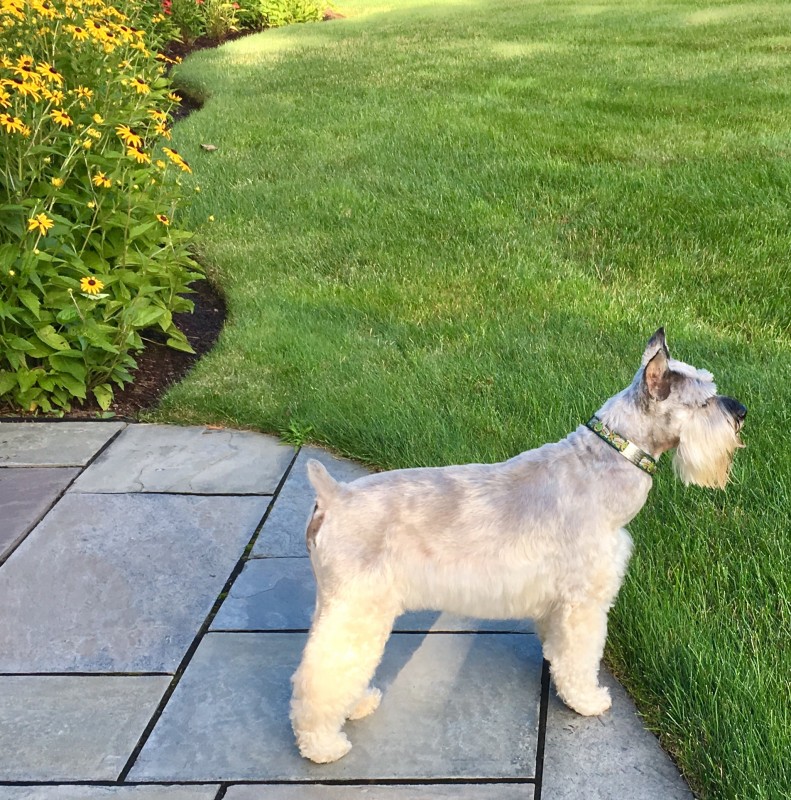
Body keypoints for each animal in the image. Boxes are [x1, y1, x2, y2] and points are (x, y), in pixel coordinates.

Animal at [290, 330, 744, 764]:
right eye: (704, 400)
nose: (740, 412)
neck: (608, 459)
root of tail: (334, 496)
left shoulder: (558, 603)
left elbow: (558, 650)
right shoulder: (584, 602)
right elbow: (580, 656)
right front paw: (587, 700)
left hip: (344, 610)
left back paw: (357, 704)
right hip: (356, 612)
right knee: (318, 677)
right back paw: (323, 745)